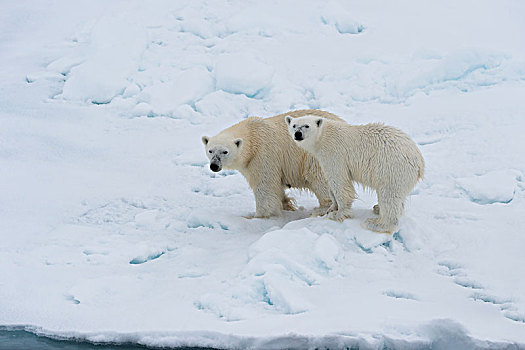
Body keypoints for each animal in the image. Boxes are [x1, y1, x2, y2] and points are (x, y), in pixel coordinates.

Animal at [201, 110, 344, 217]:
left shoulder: (263, 154)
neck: (252, 136)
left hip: (315, 155)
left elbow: (265, 186)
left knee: (319, 178)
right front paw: (287, 204)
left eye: (225, 152)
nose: (214, 166)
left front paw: (256, 216)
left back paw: (322, 209)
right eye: (210, 150)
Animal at [284, 115, 424, 234]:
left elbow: (339, 182)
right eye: (294, 125)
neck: (323, 136)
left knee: (389, 196)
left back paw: (375, 223)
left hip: (391, 168)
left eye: (306, 125)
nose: (298, 134)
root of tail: (419, 162)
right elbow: (331, 184)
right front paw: (332, 208)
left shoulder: (334, 153)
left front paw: (338, 214)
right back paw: (378, 208)